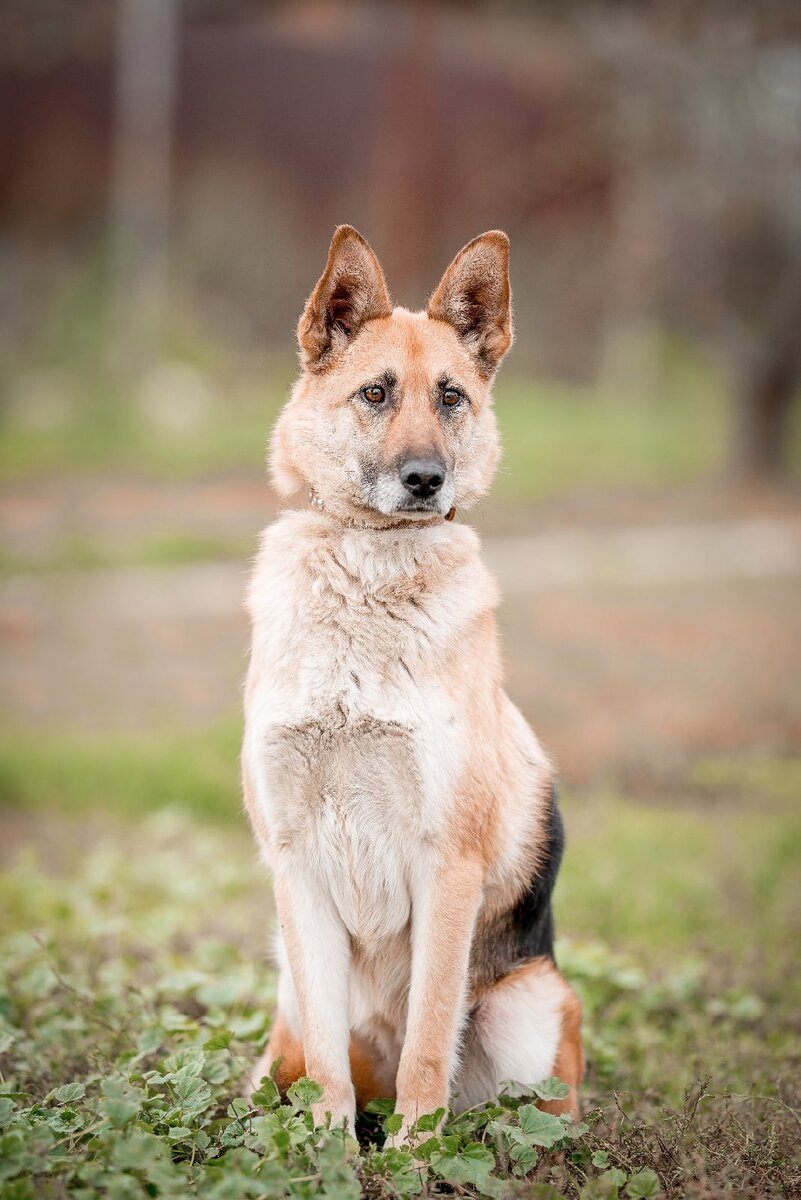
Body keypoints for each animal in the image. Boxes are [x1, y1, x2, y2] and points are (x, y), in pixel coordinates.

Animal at [241, 223, 585, 1132]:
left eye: (451, 397)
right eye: (375, 394)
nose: (426, 481)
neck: (366, 580)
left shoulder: (447, 866)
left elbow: (430, 1037)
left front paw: (413, 1149)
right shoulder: (295, 863)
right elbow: (328, 1064)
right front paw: (327, 1147)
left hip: (527, 1010)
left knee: (531, 1110)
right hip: (284, 997)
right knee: (287, 1066)